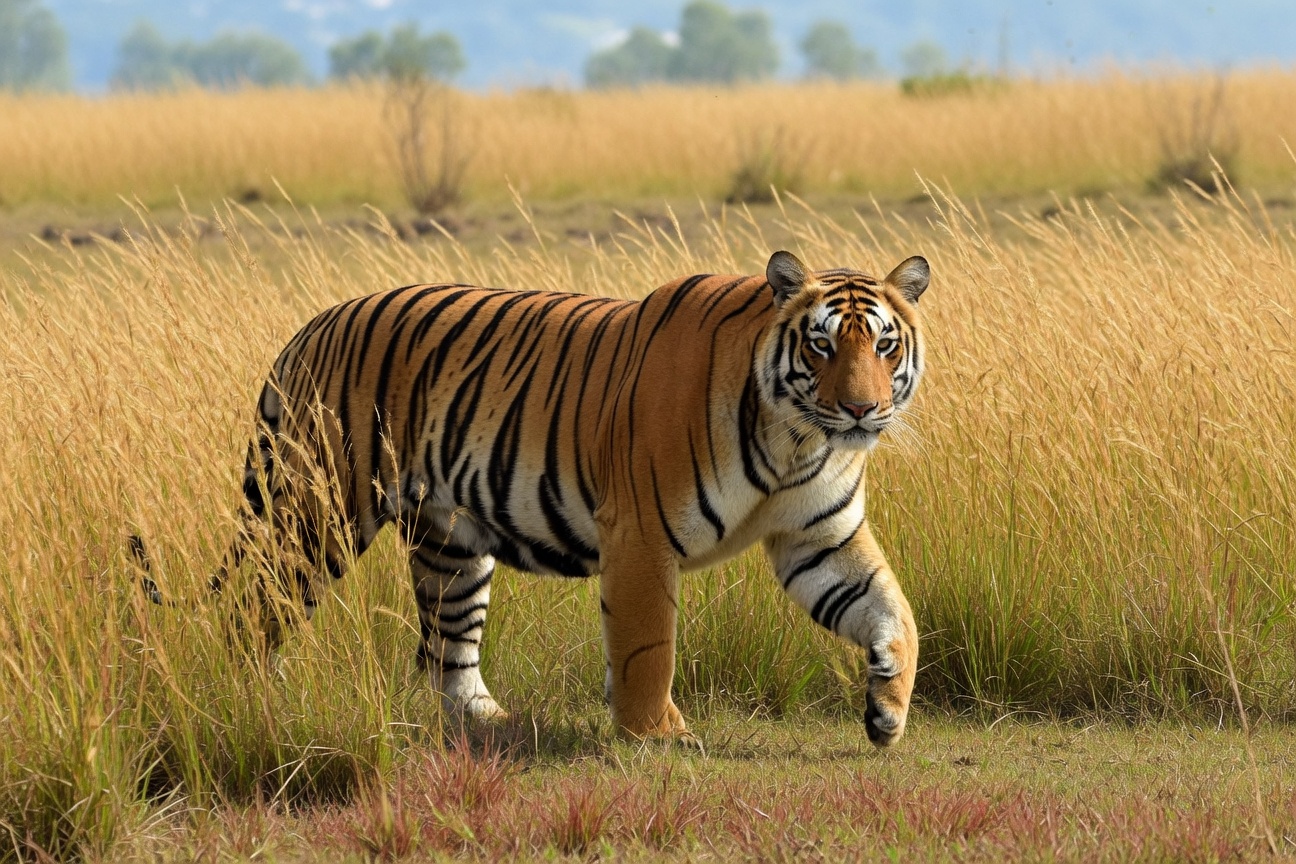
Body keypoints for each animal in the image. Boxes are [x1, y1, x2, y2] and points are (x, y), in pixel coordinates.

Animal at [132, 250, 929, 747]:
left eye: (884, 346)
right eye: (822, 346)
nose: (862, 410)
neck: (797, 438)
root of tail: (307, 330)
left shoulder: (819, 537)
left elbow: (894, 611)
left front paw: (887, 709)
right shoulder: (640, 533)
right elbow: (648, 645)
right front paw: (657, 735)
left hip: (450, 539)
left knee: (446, 646)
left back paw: (485, 721)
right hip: (319, 513)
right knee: (256, 610)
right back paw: (254, 701)